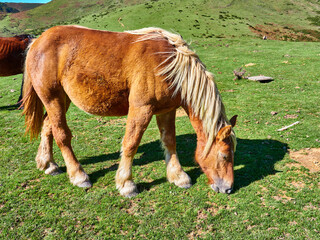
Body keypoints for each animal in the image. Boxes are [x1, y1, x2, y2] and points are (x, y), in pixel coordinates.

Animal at [21, 24, 238, 197]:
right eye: (225, 156)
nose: (228, 188)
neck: (170, 65)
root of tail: (37, 41)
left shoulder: (166, 110)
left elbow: (169, 141)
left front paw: (178, 176)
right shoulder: (141, 109)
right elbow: (131, 143)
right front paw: (126, 184)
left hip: (61, 100)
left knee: (47, 127)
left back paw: (48, 164)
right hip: (53, 99)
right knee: (61, 135)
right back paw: (78, 175)